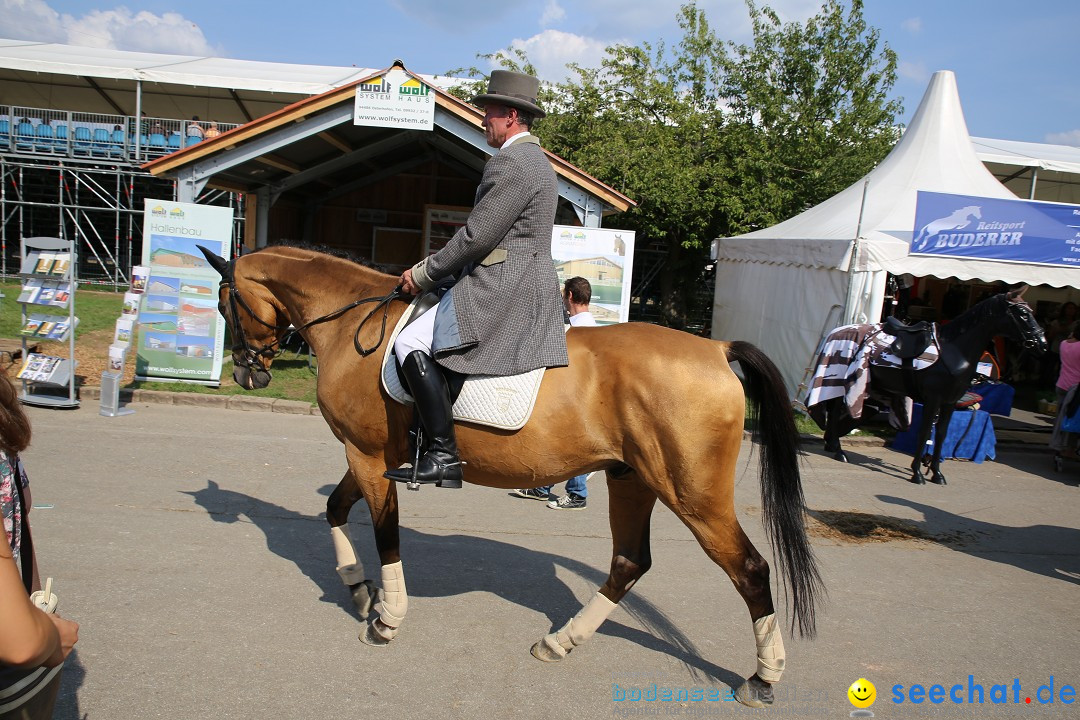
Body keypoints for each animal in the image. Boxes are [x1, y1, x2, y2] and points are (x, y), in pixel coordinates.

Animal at [200, 245, 816, 708]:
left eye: (226, 303)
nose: (247, 375)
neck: (354, 323)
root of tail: (716, 349)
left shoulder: (368, 456)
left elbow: (385, 534)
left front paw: (385, 620)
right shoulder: (366, 457)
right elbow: (333, 509)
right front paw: (357, 589)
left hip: (693, 494)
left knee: (749, 569)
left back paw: (762, 678)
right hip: (632, 479)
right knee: (628, 562)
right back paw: (560, 641)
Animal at [812, 287, 1041, 483]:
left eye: (1030, 311)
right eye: (1022, 313)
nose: (1041, 342)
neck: (954, 350)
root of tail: (835, 332)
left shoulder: (949, 402)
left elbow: (940, 435)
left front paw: (936, 473)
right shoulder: (933, 399)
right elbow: (923, 433)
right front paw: (917, 473)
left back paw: (832, 444)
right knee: (834, 409)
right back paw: (838, 449)